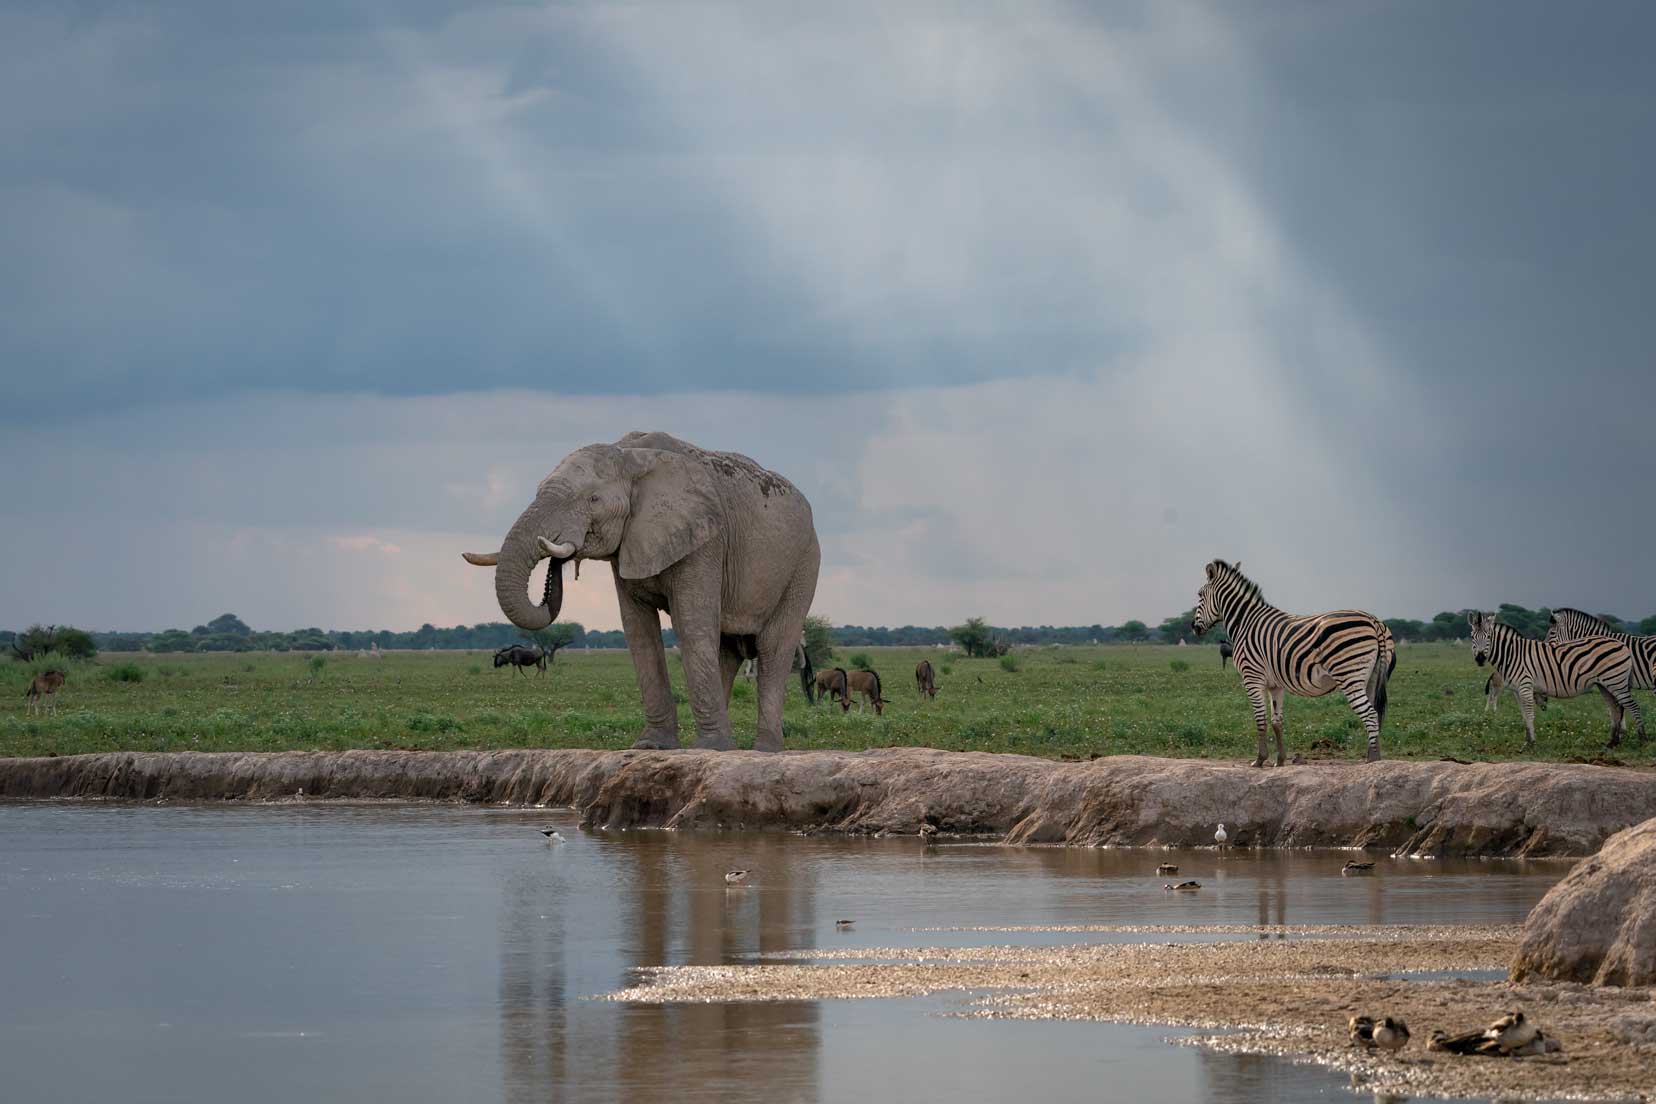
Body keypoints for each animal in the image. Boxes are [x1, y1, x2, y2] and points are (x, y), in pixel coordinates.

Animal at [460, 430, 821, 751]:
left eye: (593, 499)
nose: (557, 565)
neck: (630, 456)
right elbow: (638, 630)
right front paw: (653, 745)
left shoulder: (706, 539)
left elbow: (691, 626)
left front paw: (710, 748)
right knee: (727, 650)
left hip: (804, 563)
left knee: (774, 646)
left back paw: (763, 750)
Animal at [1192, 556, 1397, 764]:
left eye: (1200, 595)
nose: (1193, 627)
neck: (1246, 622)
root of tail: (1374, 621)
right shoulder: (1275, 685)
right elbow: (1276, 722)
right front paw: (1280, 760)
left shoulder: (1252, 677)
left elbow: (1260, 719)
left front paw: (1259, 760)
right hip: (1372, 679)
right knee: (1375, 714)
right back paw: (1374, 760)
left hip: (1350, 676)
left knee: (1370, 715)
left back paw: (1372, 761)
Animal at [1470, 609, 1636, 754]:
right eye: (1472, 637)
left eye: (1488, 637)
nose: (1480, 659)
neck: (1512, 654)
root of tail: (1622, 644)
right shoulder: (1517, 691)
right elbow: (1524, 716)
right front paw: (1527, 742)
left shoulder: (1525, 685)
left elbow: (1529, 715)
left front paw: (1531, 744)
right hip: (1606, 684)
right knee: (1616, 709)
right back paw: (1613, 742)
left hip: (1615, 682)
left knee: (1628, 706)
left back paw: (1637, 738)